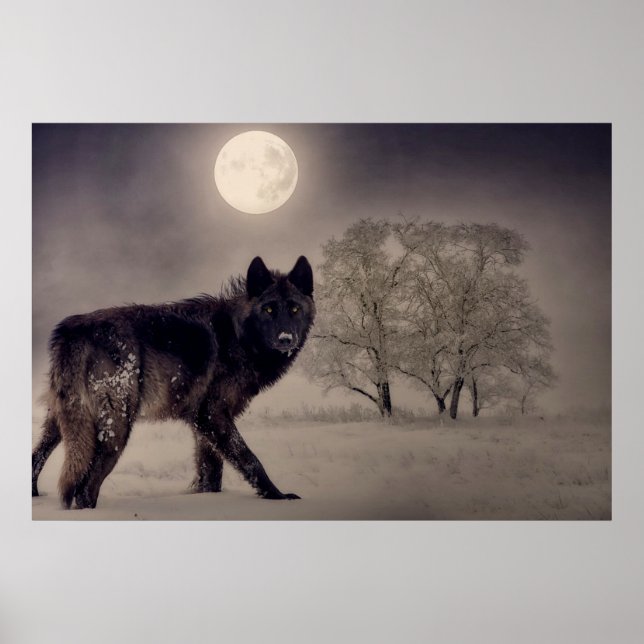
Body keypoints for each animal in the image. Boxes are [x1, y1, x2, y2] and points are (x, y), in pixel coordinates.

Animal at [32, 256, 314, 509]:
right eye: (268, 309)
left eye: (295, 309)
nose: (286, 338)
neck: (239, 336)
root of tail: (72, 330)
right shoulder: (212, 415)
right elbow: (250, 459)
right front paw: (278, 497)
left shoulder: (203, 426)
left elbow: (211, 472)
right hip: (116, 429)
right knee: (85, 489)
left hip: (61, 423)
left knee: (36, 458)